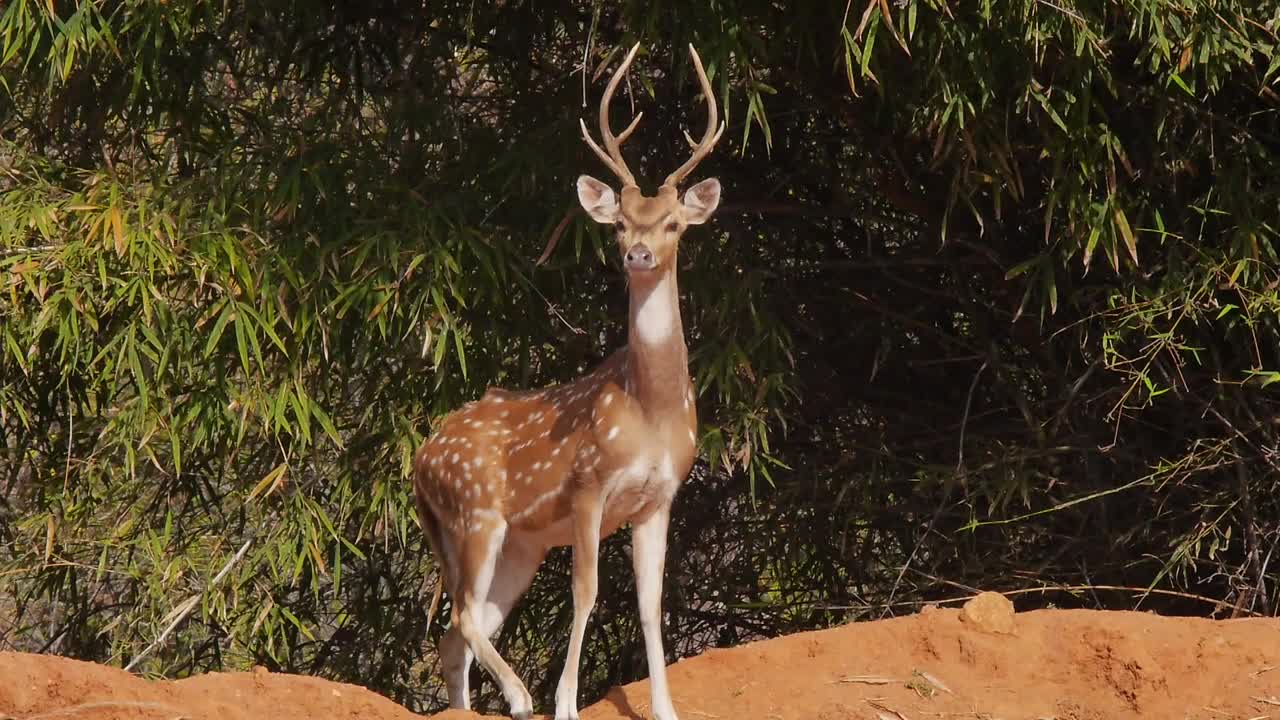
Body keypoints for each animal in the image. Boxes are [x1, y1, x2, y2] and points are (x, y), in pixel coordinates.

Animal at [414, 43, 727, 717]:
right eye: (619, 223)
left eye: (672, 223)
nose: (638, 253)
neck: (650, 411)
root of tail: (419, 459)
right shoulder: (589, 483)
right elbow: (588, 592)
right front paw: (564, 702)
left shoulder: (660, 497)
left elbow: (651, 603)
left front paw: (666, 708)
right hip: (474, 514)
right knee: (462, 616)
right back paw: (521, 695)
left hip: (519, 544)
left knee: (457, 632)